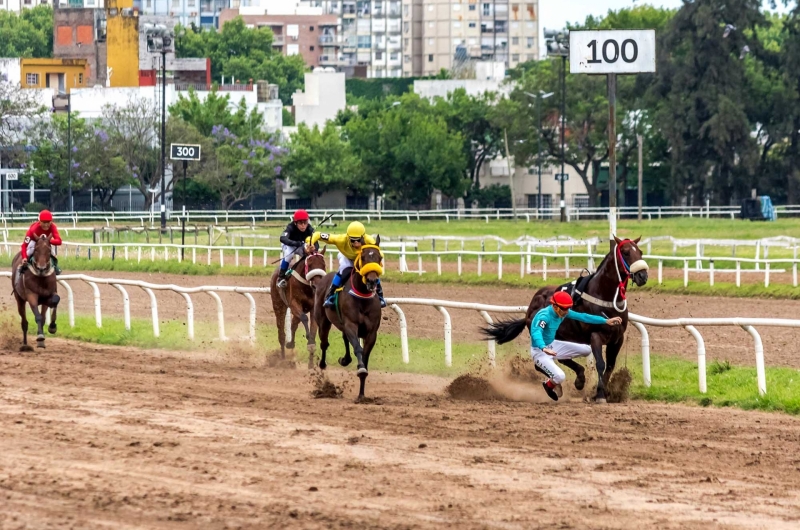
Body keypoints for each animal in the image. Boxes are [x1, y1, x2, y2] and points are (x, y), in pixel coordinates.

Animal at [312, 235, 384, 400]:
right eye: (363, 257)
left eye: (379, 257)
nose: (372, 281)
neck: (362, 296)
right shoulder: (351, 324)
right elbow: (358, 348)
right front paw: (361, 368)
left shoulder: (371, 333)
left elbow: (365, 355)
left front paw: (361, 394)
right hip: (323, 321)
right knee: (324, 343)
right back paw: (323, 365)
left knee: (344, 338)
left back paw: (345, 359)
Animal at [482, 235, 648, 400]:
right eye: (626, 252)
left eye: (640, 252)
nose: (643, 276)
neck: (605, 296)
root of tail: (529, 309)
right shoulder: (596, 336)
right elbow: (601, 364)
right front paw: (600, 394)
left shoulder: (617, 338)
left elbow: (610, 366)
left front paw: (605, 392)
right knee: (543, 362)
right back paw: (564, 383)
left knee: (562, 358)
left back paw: (577, 380)